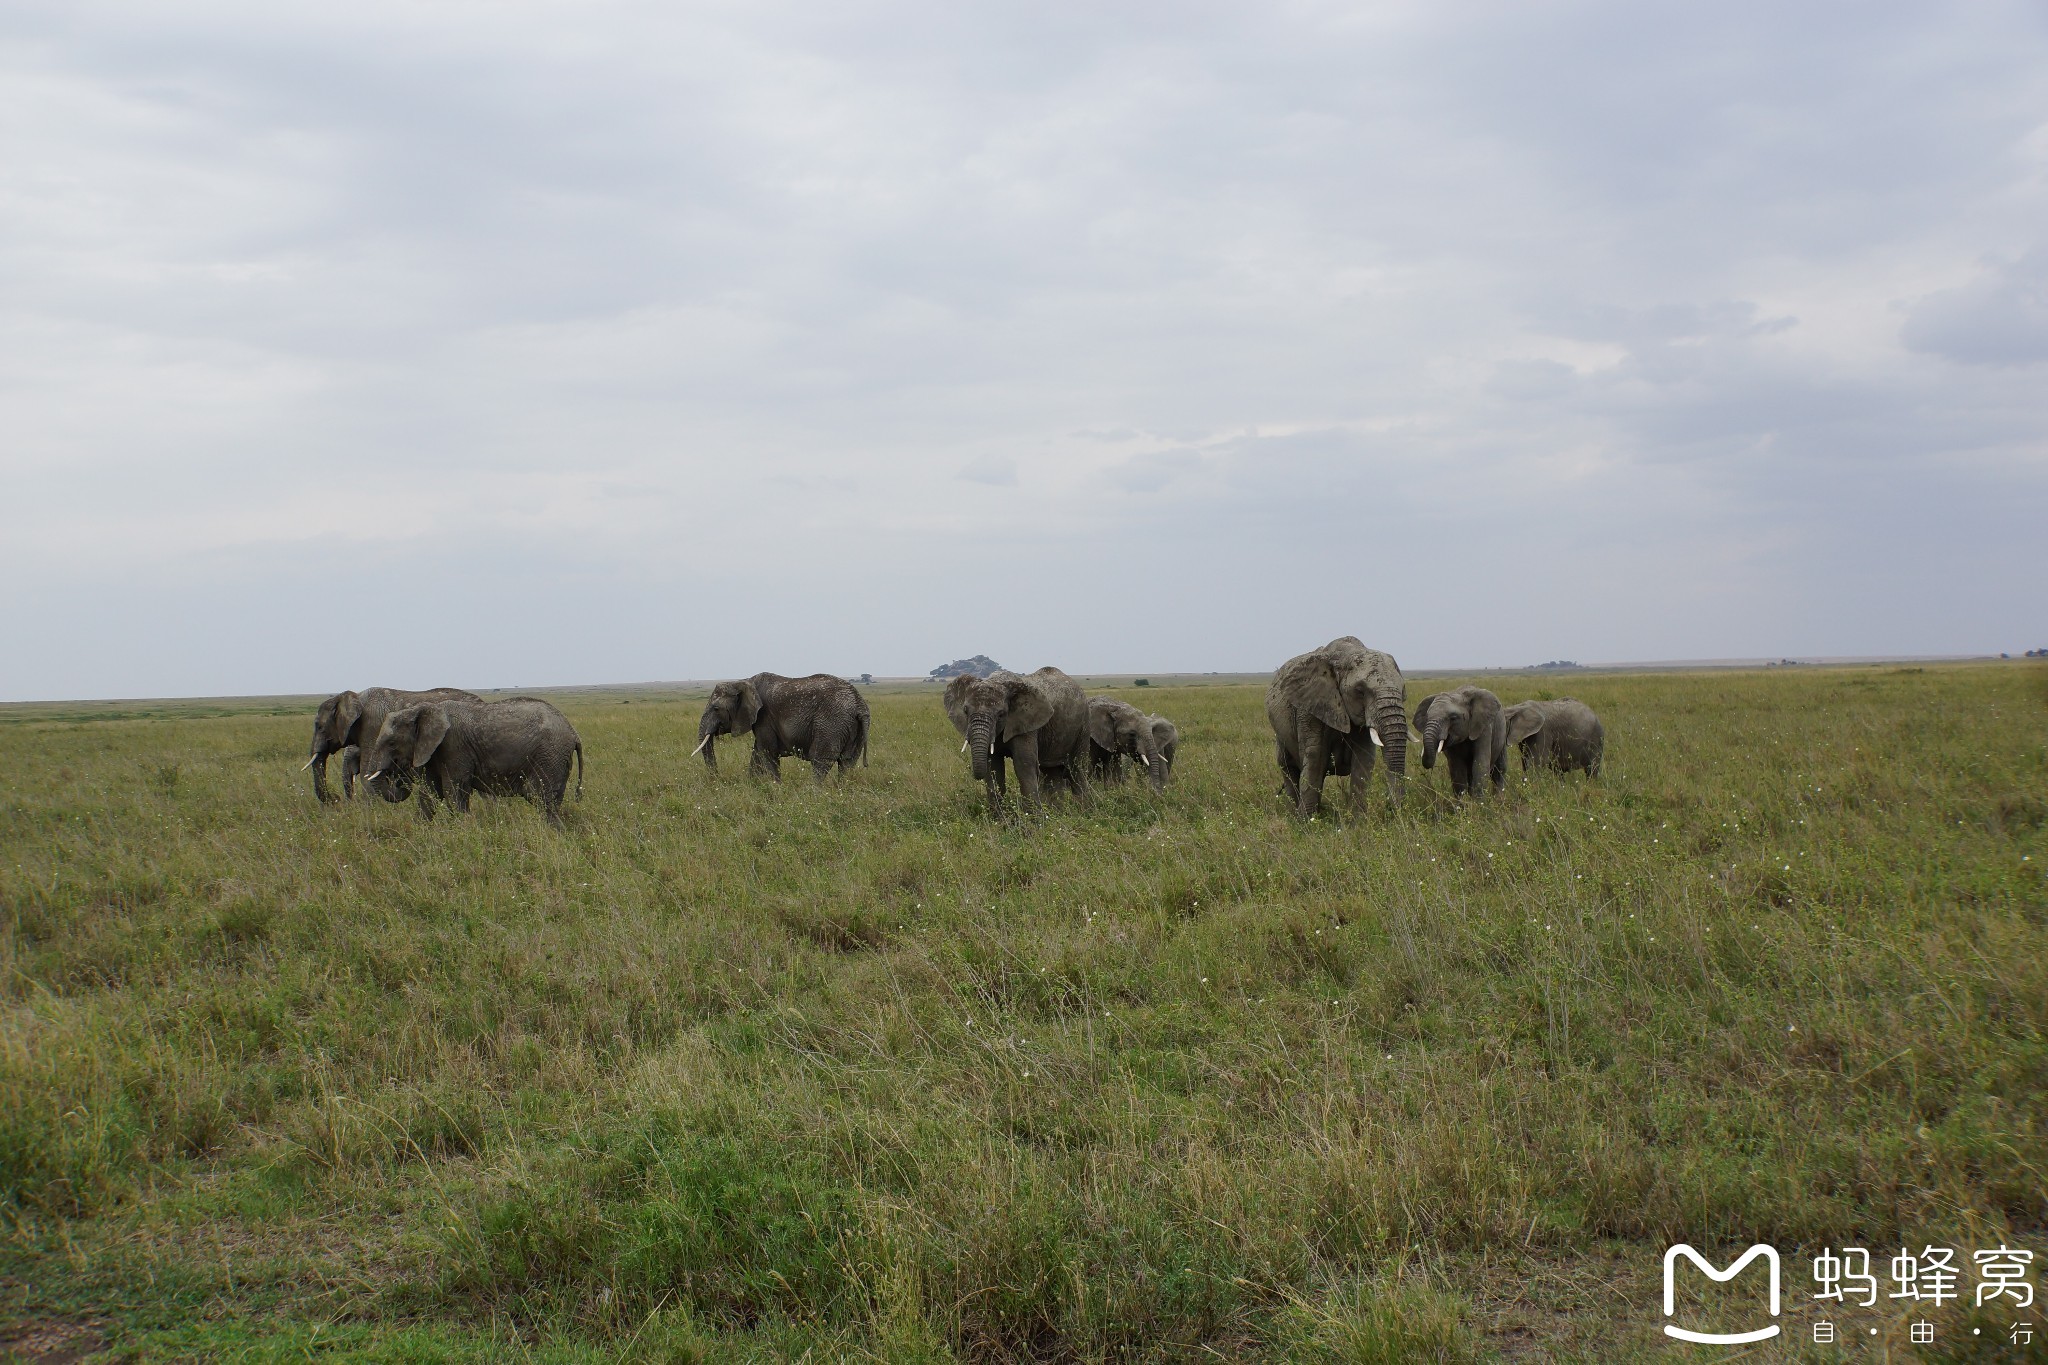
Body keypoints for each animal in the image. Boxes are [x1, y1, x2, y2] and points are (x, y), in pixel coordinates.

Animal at [360, 699, 581, 826]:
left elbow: (453, 792)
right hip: (556, 758)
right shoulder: (433, 751)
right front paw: (420, 833)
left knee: (540, 798)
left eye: (391, 743)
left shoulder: (454, 747)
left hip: (549, 755)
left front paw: (462, 833)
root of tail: (573, 732)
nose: (398, 776)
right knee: (550, 801)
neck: (423, 709)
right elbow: (429, 794)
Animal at [696, 671, 872, 777]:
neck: (743, 681)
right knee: (847, 763)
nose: (717, 778)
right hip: (855, 728)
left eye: (716, 708)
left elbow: (768, 753)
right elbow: (757, 753)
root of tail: (859, 705)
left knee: (821, 761)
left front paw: (776, 790)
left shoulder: (765, 717)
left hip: (831, 723)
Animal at [946, 667, 1097, 818]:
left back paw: (1084, 811)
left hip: (1084, 725)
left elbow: (1023, 764)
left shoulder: (1027, 725)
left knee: (1077, 768)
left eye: (1001, 714)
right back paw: (1057, 813)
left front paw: (1034, 821)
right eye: (966, 711)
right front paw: (999, 820)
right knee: (1052, 772)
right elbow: (993, 767)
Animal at [1261, 638, 1409, 818]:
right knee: (1288, 768)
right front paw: (1307, 822)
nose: (1391, 808)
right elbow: (1315, 757)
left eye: (1403, 690)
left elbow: (1364, 759)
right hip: (1280, 735)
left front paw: (1358, 822)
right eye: (1360, 691)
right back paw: (1294, 814)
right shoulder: (1310, 706)